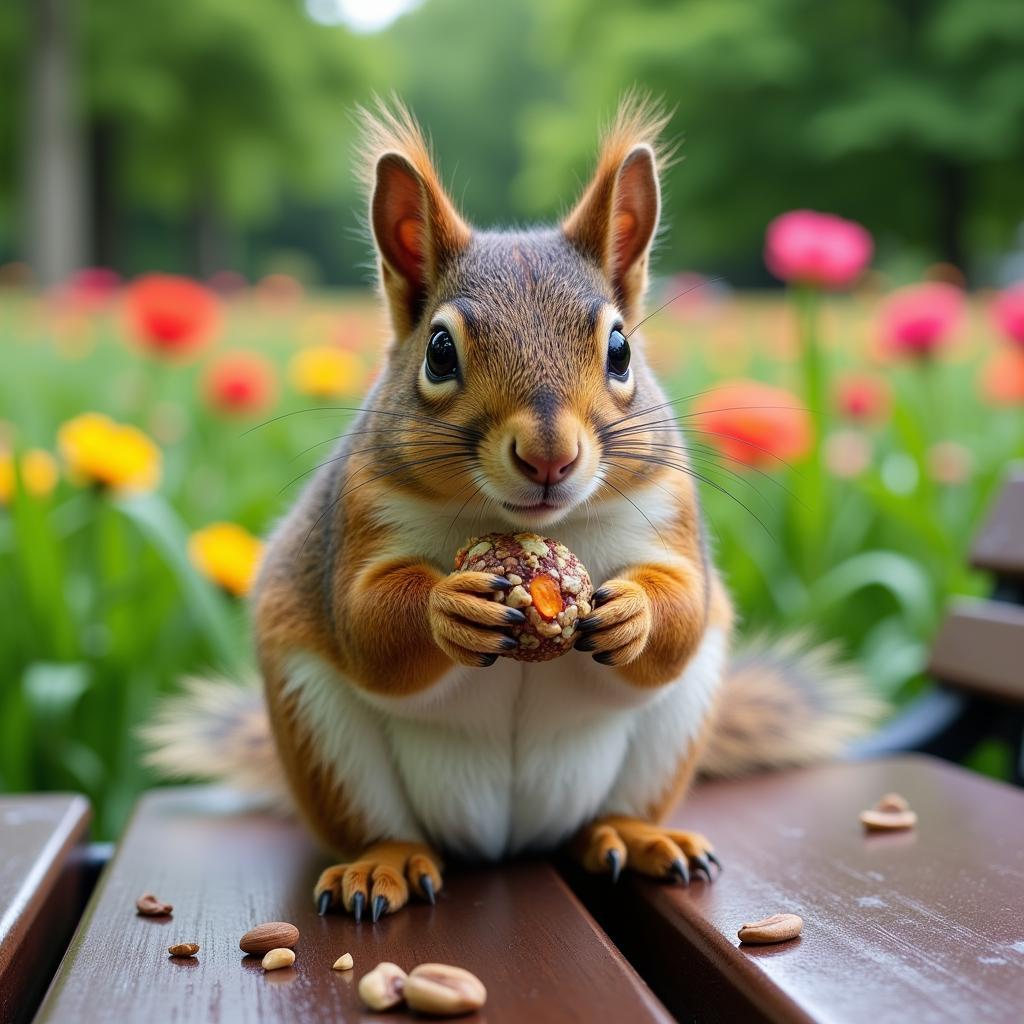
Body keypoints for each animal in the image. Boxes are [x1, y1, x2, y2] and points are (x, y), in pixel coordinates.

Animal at [146, 99, 880, 925]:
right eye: (439, 351)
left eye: (621, 349)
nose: (549, 457)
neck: (536, 527)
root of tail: (509, 840)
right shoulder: (361, 515)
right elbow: (367, 622)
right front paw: (448, 606)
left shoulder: (670, 512)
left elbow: (685, 605)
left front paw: (635, 612)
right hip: (321, 732)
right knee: (376, 820)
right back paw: (382, 864)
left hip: (674, 728)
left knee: (618, 801)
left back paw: (636, 836)